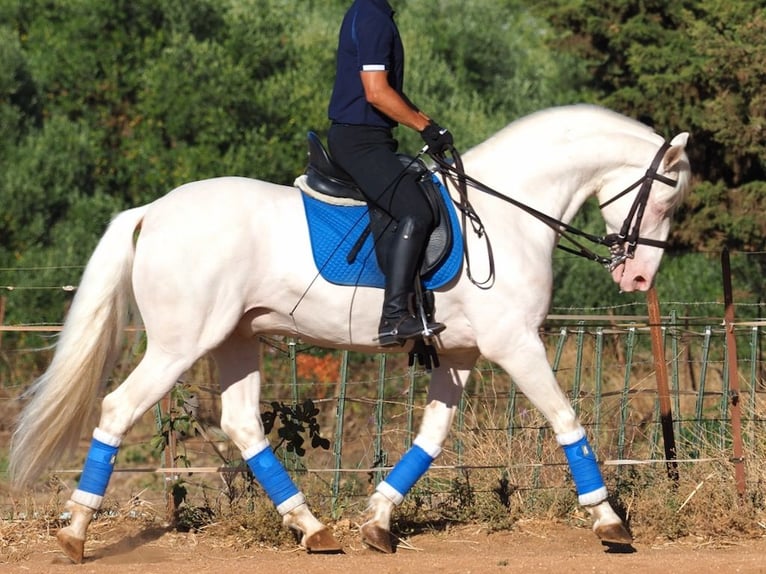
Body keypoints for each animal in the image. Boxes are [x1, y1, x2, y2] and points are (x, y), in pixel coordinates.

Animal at [10, 103, 696, 564]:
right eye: (668, 196)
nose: (637, 275)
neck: (505, 213)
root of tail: (153, 210)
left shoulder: (462, 352)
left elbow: (431, 440)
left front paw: (379, 521)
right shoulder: (515, 344)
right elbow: (567, 421)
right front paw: (609, 522)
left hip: (236, 338)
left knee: (242, 424)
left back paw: (313, 529)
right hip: (181, 344)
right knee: (118, 409)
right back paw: (75, 533)